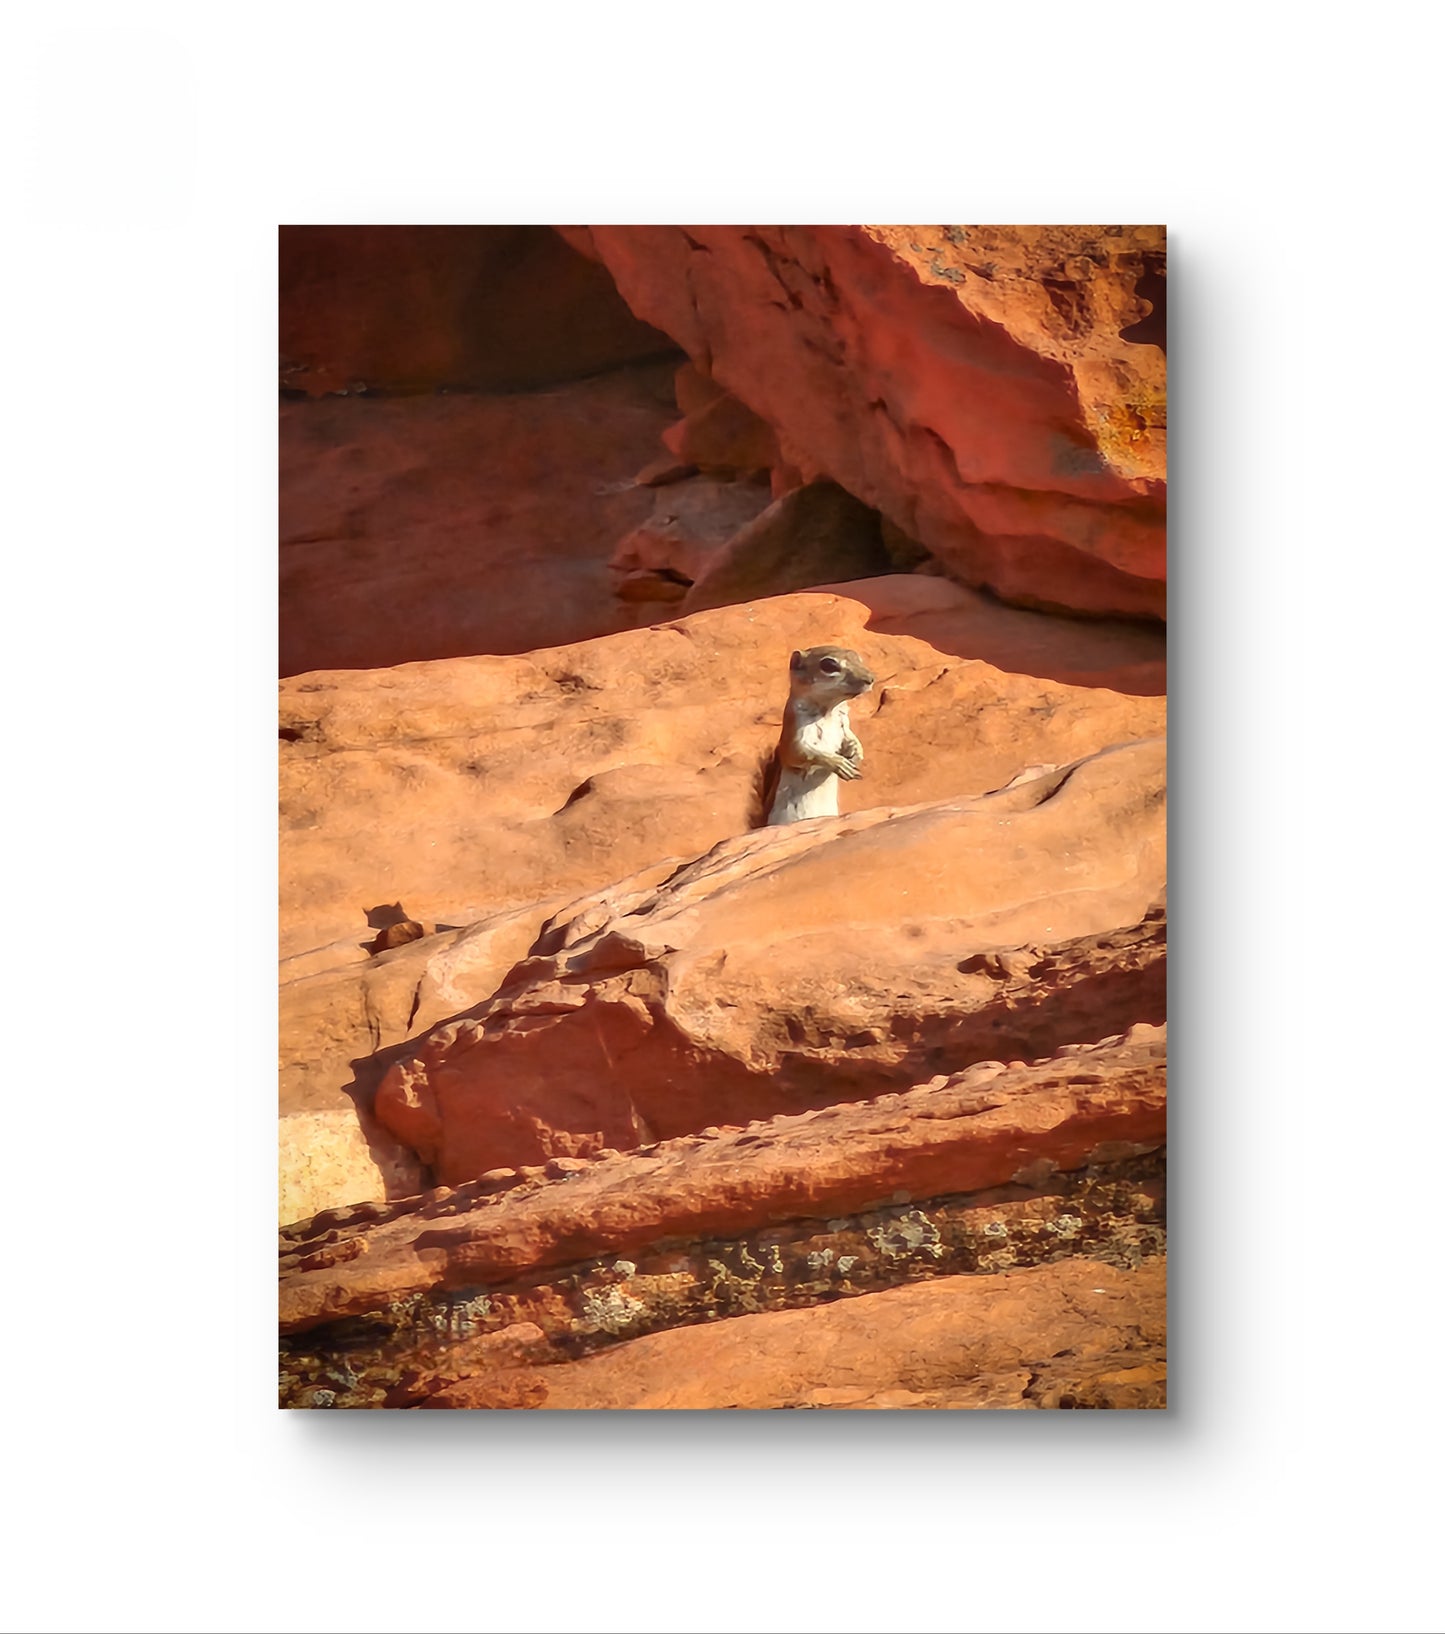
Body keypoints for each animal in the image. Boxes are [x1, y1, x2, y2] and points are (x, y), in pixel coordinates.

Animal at [750, 645, 876, 827]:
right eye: (829, 665)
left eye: (858, 658)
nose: (870, 679)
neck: (829, 710)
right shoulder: (794, 732)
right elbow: (801, 752)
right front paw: (838, 763)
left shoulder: (844, 724)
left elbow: (851, 737)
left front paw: (856, 751)